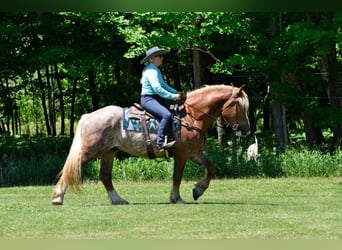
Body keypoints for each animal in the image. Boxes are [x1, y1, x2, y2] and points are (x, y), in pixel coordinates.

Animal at [50, 84, 250, 205]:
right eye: (240, 106)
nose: (246, 130)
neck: (192, 117)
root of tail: (89, 116)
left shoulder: (194, 153)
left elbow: (211, 168)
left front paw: (198, 190)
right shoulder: (182, 153)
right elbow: (177, 176)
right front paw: (177, 198)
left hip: (109, 152)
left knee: (105, 176)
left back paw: (118, 200)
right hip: (91, 151)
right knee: (72, 169)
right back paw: (58, 197)